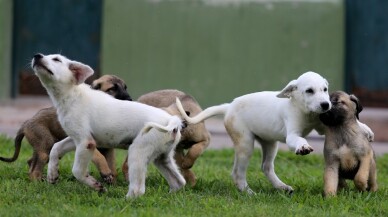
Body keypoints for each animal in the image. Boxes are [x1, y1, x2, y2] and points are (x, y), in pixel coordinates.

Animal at [0, 73, 132, 182]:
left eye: (125, 87)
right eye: (112, 89)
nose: (130, 100)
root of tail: (26, 122)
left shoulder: (108, 149)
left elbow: (112, 167)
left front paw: (111, 183)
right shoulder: (85, 142)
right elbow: (99, 157)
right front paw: (105, 173)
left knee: (31, 161)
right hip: (45, 144)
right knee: (34, 170)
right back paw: (38, 182)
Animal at [31, 53, 186, 198]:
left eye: (57, 59)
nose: (37, 56)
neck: (72, 94)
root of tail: (172, 121)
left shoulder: (85, 142)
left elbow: (77, 171)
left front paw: (95, 185)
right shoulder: (76, 138)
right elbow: (56, 148)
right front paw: (52, 174)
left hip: (137, 152)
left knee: (138, 190)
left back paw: (125, 199)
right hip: (162, 158)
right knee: (179, 182)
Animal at [177, 71, 374, 193]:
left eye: (324, 89)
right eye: (309, 91)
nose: (326, 105)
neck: (305, 111)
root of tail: (228, 107)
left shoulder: (321, 125)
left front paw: (366, 129)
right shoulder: (292, 135)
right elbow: (298, 139)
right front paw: (303, 147)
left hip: (270, 144)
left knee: (266, 166)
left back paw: (282, 187)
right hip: (245, 143)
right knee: (238, 172)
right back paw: (248, 192)